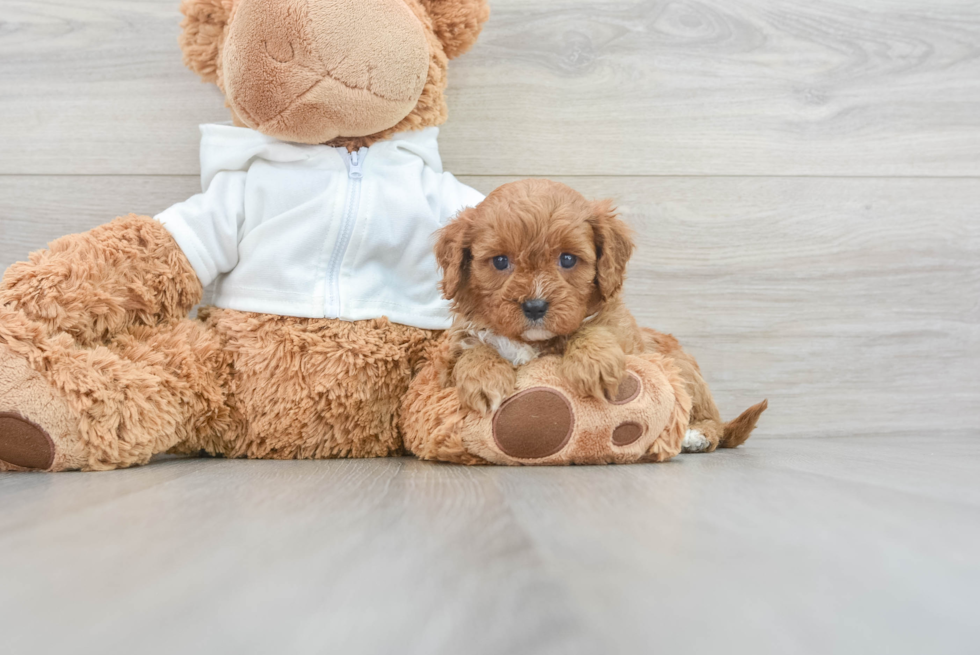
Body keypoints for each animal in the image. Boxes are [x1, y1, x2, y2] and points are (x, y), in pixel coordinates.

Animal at [434, 179, 764, 456]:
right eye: (501, 261)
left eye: (568, 259)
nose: (535, 306)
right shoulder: (457, 345)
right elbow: (474, 348)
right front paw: (484, 377)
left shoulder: (626, 336)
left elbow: (594, 328)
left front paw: (594, 364)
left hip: (684, 371)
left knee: (712, 421)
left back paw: (695, 436)